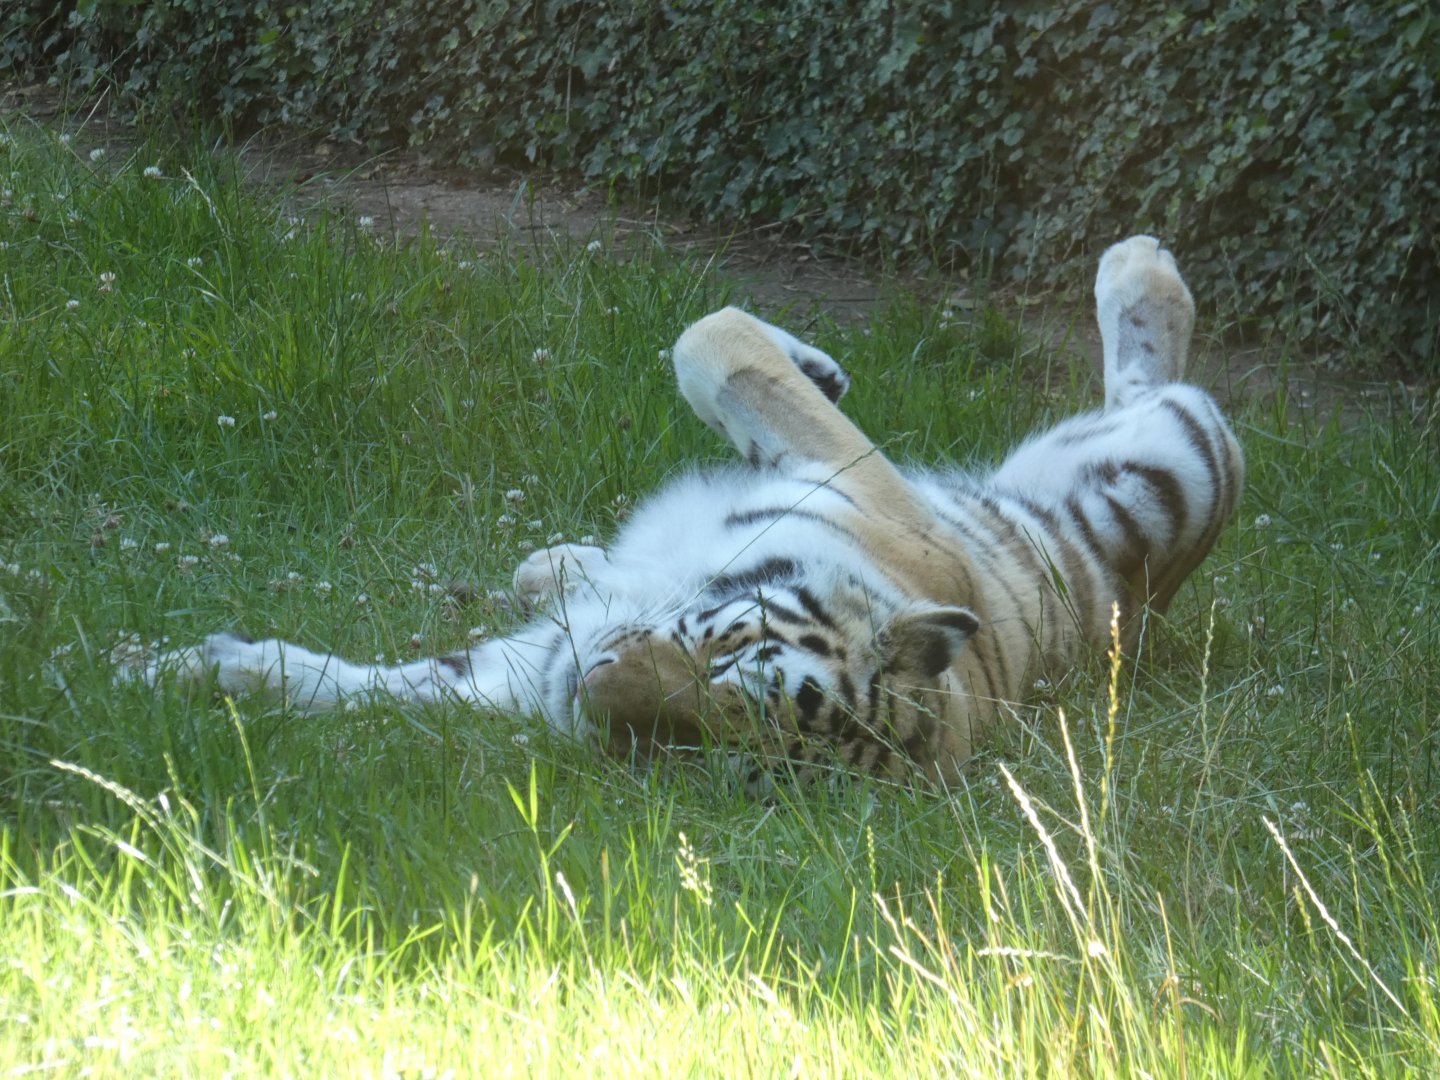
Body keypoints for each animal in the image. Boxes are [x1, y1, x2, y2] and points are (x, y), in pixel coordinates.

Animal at [124, 235, 1243, 784]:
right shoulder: (852, 478)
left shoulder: (524, 678)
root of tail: (1139, 602)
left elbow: (708, 336)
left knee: (1162, 383)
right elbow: (717, 338)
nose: (596, 694)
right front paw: (184, 671)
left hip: (1172, 462)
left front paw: (185, 670)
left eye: (713, 749)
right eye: (721, 652)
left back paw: (1140, 265)